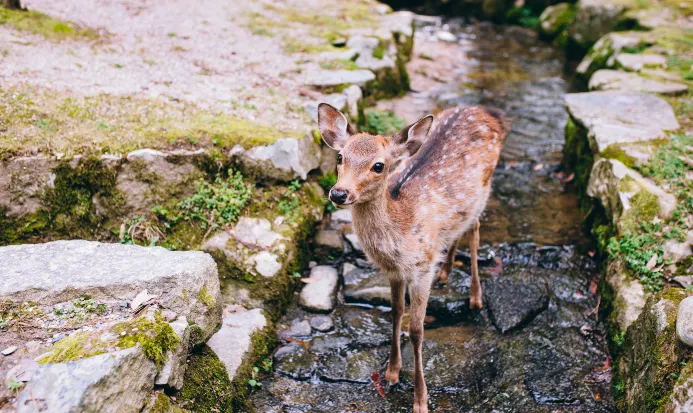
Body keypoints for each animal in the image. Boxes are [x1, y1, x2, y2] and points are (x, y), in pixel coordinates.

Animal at [317, 103, 507, 413]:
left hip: (485, 188)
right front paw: (392, 372)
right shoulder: (394, 272)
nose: (339, 192)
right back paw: (446, 272)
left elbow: (416, 330)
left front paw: (420, 400)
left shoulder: (421, 269)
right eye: (340, 156)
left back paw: (476, 297)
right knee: (459, 228)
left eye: (378, 165)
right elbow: (395, 313)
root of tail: (488, 113)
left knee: (475, 228)